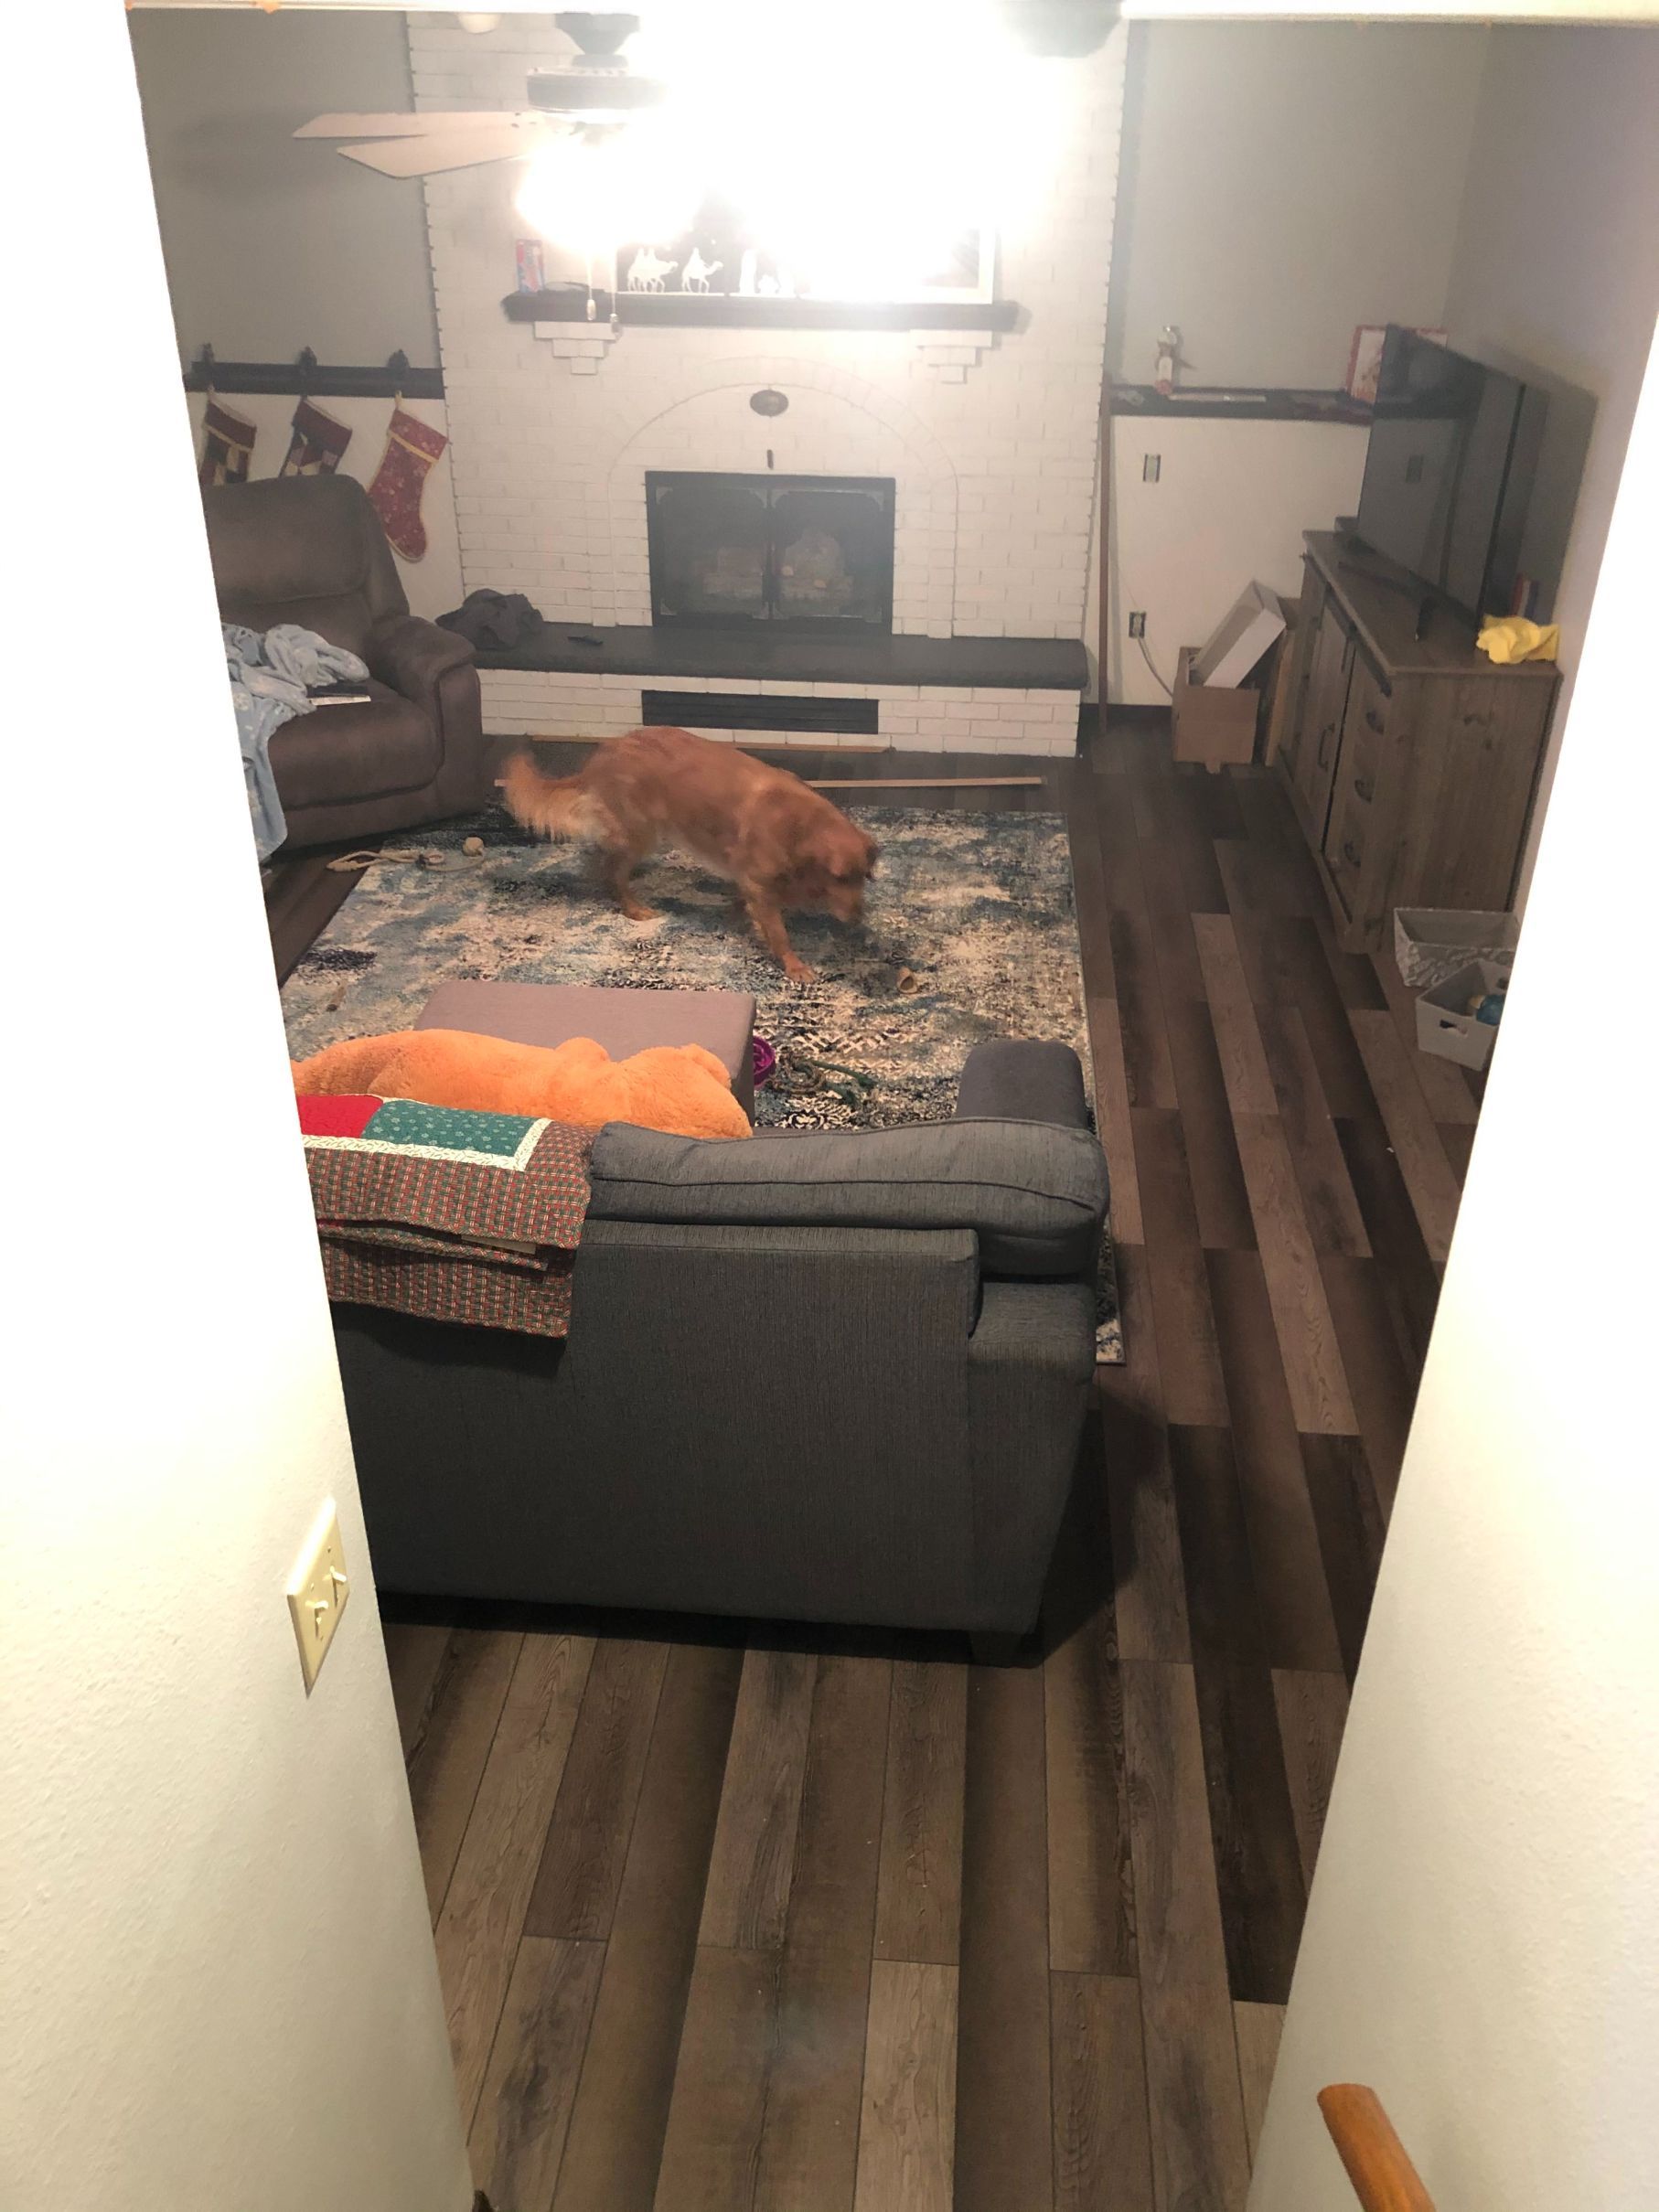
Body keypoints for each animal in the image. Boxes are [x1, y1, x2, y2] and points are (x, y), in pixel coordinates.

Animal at [501, 727, 880, 983]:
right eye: (839, 878)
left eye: (862, 877)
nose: (859, 916)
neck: (799, 826)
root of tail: (602, 754)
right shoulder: (759, 884)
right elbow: (779, 932)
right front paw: (795, 965)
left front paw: (736, 915)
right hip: (640, 834)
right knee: (609, 869)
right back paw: (633, 907)